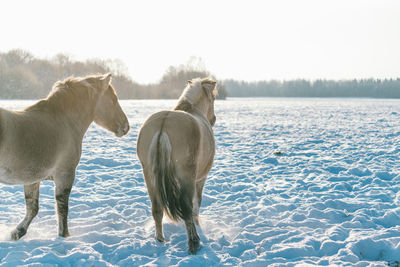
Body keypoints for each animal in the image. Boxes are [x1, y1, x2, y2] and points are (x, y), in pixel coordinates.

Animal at [0, 73, 129, 241]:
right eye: (114, 100)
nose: (126, 127)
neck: (65, 122)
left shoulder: (32, 179)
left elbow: (32, 208)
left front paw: (17, 232)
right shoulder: (65, 175)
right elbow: (62, 209)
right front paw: (64, 235)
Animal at [138, 78, 219, 255]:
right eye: (213, 98)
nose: (213, 119)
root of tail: (163, 125)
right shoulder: (200, 179)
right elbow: (196, 204)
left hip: (149, 175)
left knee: (156, 209)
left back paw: (160, 239)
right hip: (186, 175)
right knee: (187, 209)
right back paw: (194, 243)